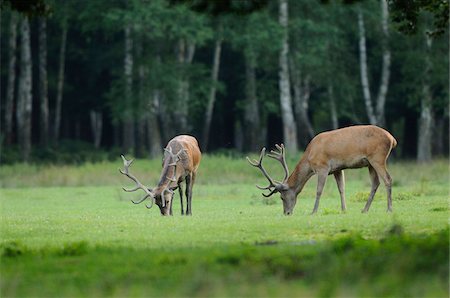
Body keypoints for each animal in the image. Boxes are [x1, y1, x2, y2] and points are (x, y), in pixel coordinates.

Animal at [246, 124, 398, 215]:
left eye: (282, 197)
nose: (287, 213)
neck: (309, 157)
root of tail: (392, 139)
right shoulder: (337, 168)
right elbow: (341, 188)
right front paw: (344, 209)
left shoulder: (323, 167)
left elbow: (319, 190)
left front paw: (314, 211)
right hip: (370, 163)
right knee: (375, 183)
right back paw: (365, 209)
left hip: (377, 158)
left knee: (388, 179)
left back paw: (389, 209)